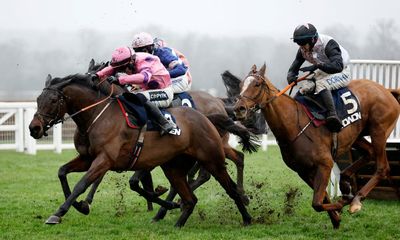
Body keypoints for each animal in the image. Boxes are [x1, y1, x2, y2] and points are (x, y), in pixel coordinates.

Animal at [28, 73, 253, 227]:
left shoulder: (105, 159)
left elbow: (82, 185)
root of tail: (208, 115)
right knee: (191, 196)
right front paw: (78, 205)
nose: (34, 128)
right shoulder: (88, 158)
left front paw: (61, 212)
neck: (97, 116)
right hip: (173, 166)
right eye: (38, 100)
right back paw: (175, 216)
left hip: (211, 158)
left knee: (228, 186)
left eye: (53, 100)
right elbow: (62, 172)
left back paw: (247, 214)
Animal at [234, 62, 400, 228]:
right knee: (369, 153)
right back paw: (346, 183)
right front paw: (336, 217)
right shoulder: (303, 171)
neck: (294, 124)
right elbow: (322, 197)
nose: (238, 109)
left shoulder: (324, 164)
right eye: (241, 85)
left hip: (379, 131)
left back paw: (356, 200)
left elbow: (317, 203)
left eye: (257, 84)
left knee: (383, 167)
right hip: (357, 136)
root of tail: (386, 91)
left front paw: (342, 205)